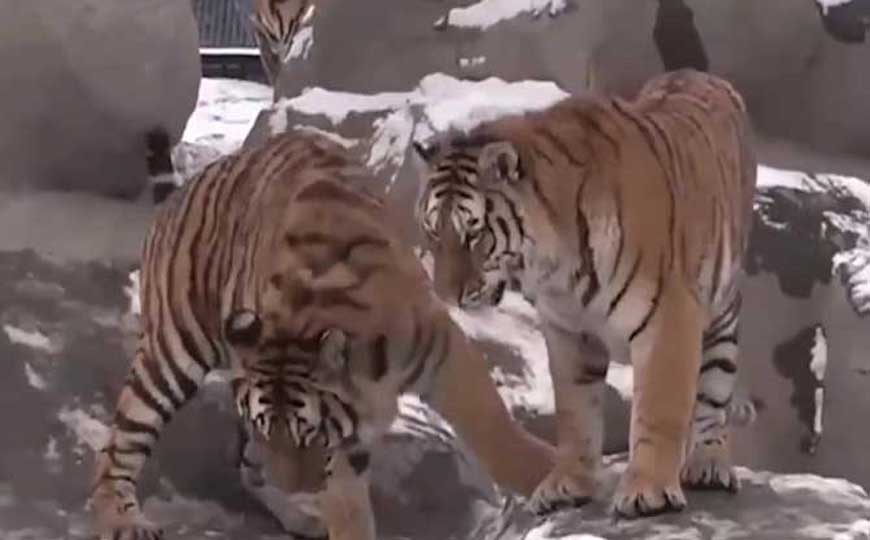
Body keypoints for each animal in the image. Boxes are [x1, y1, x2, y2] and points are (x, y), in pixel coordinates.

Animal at [88, 130, 555, 540]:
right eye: (273, 430)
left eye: (307, 432)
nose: (297, 485)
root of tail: (183, 192)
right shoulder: (343, 440)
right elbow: (347, 507)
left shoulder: (440, 349)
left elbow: (493, 427)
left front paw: (549, 476)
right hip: (173, 352)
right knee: (120, 448)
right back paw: (124, 521)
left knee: (243, 465)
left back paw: (296, 514)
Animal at [411, 68, 757, 519]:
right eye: (434, 233)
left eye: (473, 234)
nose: (446, 295)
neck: (555, 269)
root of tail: (699, 74)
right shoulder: (568, 331)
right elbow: (576, 414)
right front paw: (567, 485)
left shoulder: (668, 317)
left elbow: (659, 407)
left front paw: (649, 491)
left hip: (721, 310)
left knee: (713, 393)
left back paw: (708, 464)